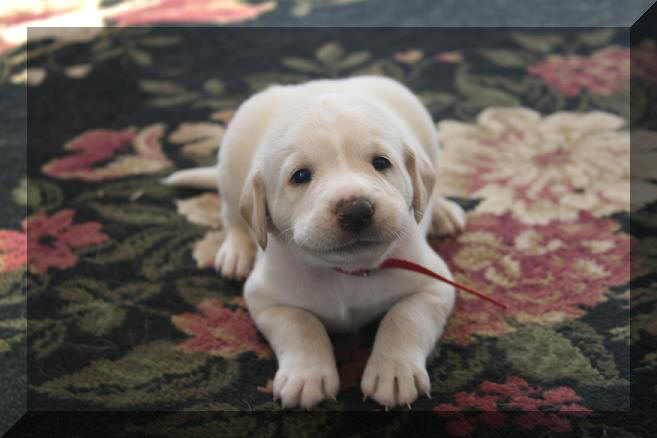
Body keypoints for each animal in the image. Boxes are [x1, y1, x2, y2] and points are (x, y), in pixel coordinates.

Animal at [164, 74, 466, 408]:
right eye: (300, 176)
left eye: (381, 163)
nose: (356, 210)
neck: (348, 271)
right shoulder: (266, 298)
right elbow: (301, 324)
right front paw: (305, 376)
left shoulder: (434, 285)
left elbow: (404, 318)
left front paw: (394, 372)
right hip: (231, 157)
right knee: (232, 213)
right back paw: (236, 252)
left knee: (431, 179)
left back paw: (441, 211)